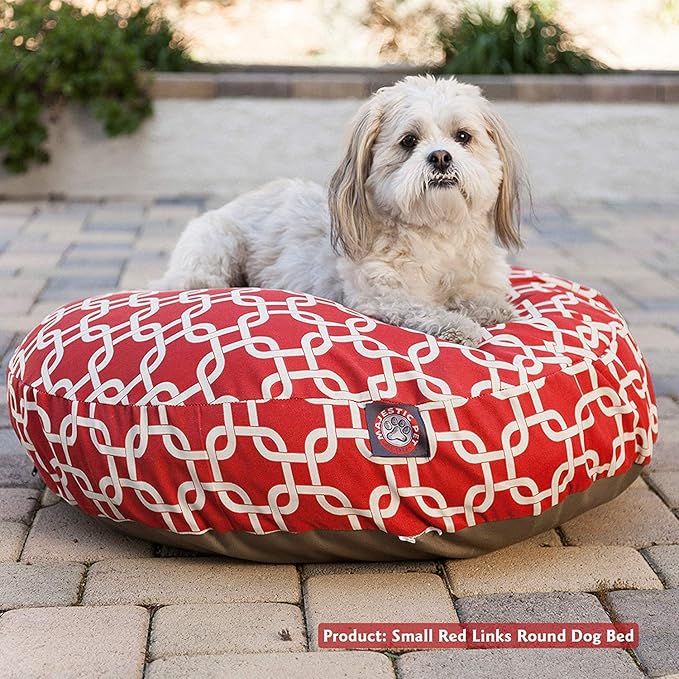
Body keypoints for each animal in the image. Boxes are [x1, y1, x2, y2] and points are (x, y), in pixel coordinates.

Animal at [154, 77, 524, 348]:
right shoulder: (382, 298)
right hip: (216, 250)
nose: (441, 157)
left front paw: (490, 308)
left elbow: (475, 294)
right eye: (409, 141)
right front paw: (463, 326)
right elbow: (426, 310)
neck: (436, 233)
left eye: (463, 137)